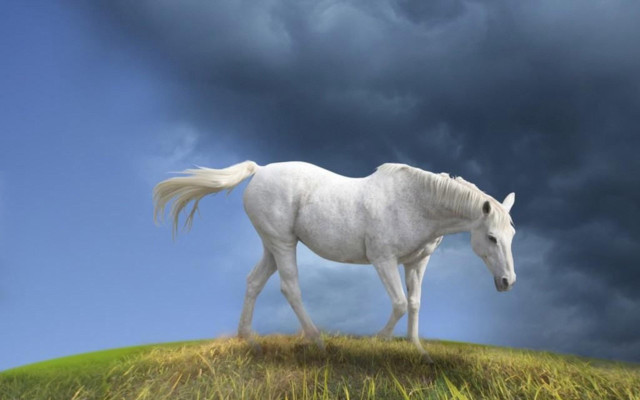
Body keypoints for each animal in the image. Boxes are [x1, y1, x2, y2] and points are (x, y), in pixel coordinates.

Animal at [153, 160, 516, 362]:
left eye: (512, 235)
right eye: (492, 238)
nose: (507, 282)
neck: (416, 202)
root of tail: (259, 171)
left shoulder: (416, 263)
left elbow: (414, 304)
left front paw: (419, 353)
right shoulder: (383, 260)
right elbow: (399, 303)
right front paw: (377, 342)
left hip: (271, 245)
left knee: (254, 282)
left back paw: (250, 342)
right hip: (283, 244)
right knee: (290, 288)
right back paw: (318, 343)